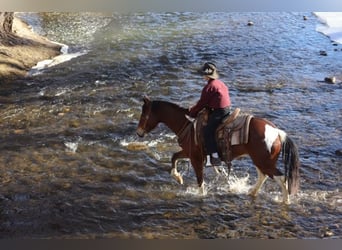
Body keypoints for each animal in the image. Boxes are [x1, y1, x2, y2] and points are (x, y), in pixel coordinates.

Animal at [136, 96, 300, 204]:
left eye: (144, 114)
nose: (139, 132)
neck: (187, 125)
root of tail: (277, 132)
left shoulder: (196, 158)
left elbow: (200, 179)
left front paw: (200, 194)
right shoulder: (190, 152)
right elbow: (174, 157)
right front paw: (178, 178)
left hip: (264, 161)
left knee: (280, 178)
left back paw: (285, 201)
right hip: (260, 160)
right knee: (263, 176)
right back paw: (252, 192)